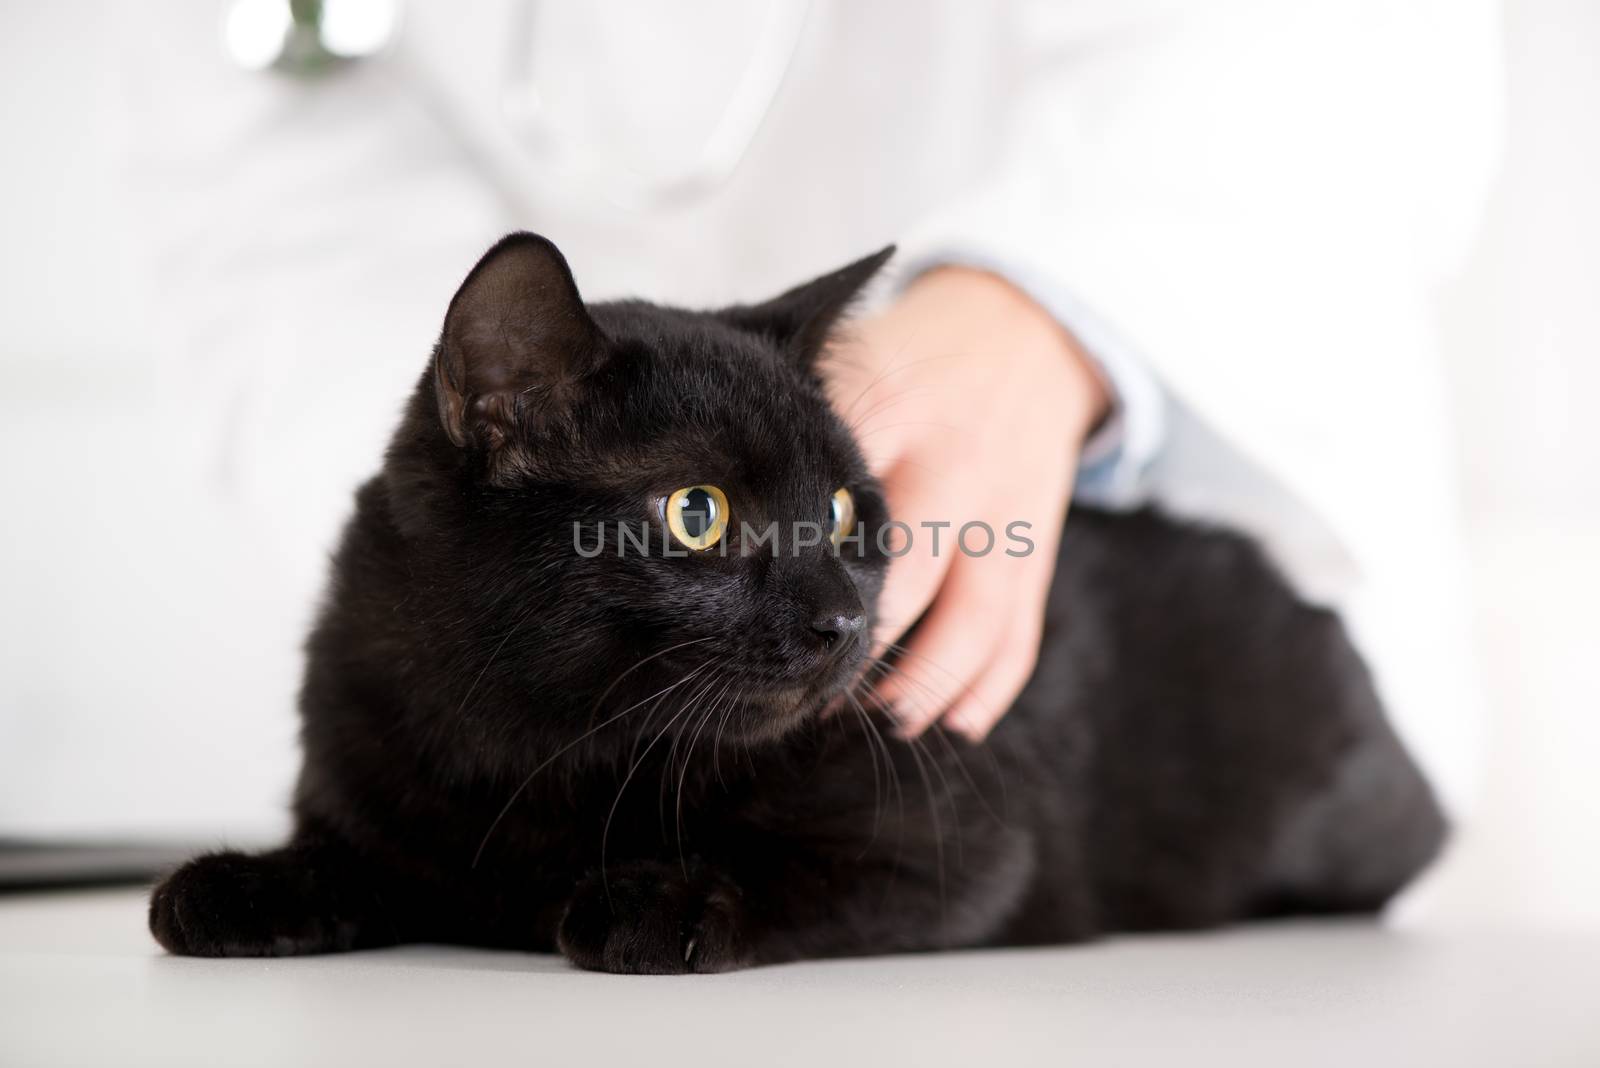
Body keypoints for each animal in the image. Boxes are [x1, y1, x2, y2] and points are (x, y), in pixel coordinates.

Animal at [152, 233, 1452, 965]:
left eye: (838, 511)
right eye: (697, 514)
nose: (842, 623)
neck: (543, 745)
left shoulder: (957, 849)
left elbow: (784, 875)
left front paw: (651, 904)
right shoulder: (380, 785)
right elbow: (360, 858)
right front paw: (241, 886)